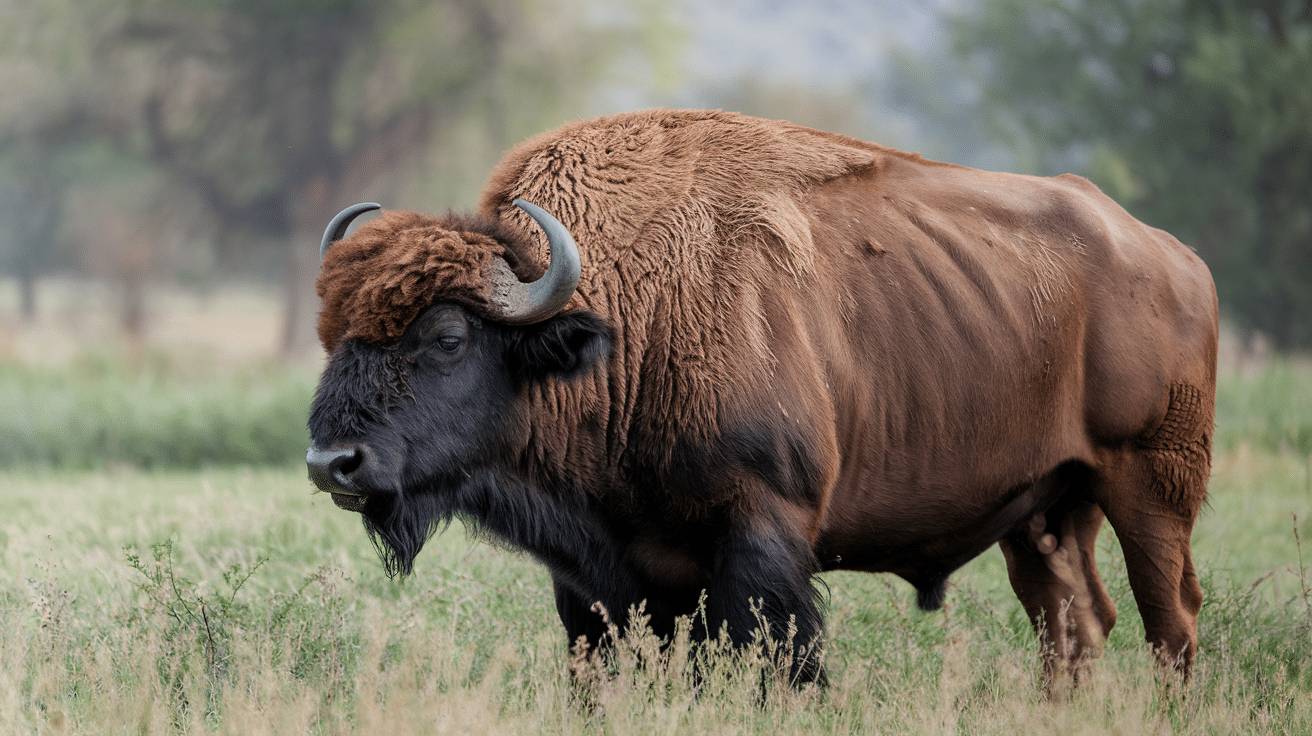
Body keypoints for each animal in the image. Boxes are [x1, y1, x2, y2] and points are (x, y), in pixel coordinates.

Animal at [307, 109, 1217, 686]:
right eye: (334, 335)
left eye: (447, 338)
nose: (331, 462)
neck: (623, 322)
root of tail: (1171, 256)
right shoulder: (601, 580)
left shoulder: (760, 537)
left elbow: (773, 661)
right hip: (1045, 513)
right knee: (1073, 626)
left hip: (1152, 489)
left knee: (1170, 622)